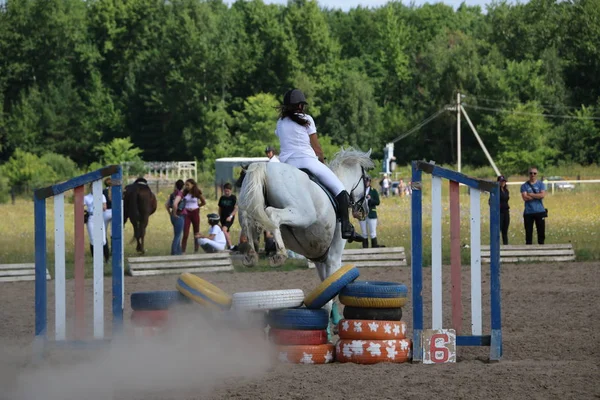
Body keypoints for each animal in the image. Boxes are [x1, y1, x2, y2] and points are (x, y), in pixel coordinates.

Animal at [238, 148, 370, 330]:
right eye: (367, 181)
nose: (364, 210)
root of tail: (264, 167)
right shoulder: (333, 256)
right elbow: (330, 294)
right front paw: (328, 328)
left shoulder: (320, 259)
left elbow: (326, 288)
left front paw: (334, 320)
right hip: (302, 214)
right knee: (273, 214)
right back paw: (279, 254)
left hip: (249, 201)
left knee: (247, 219)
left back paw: (251, 255)